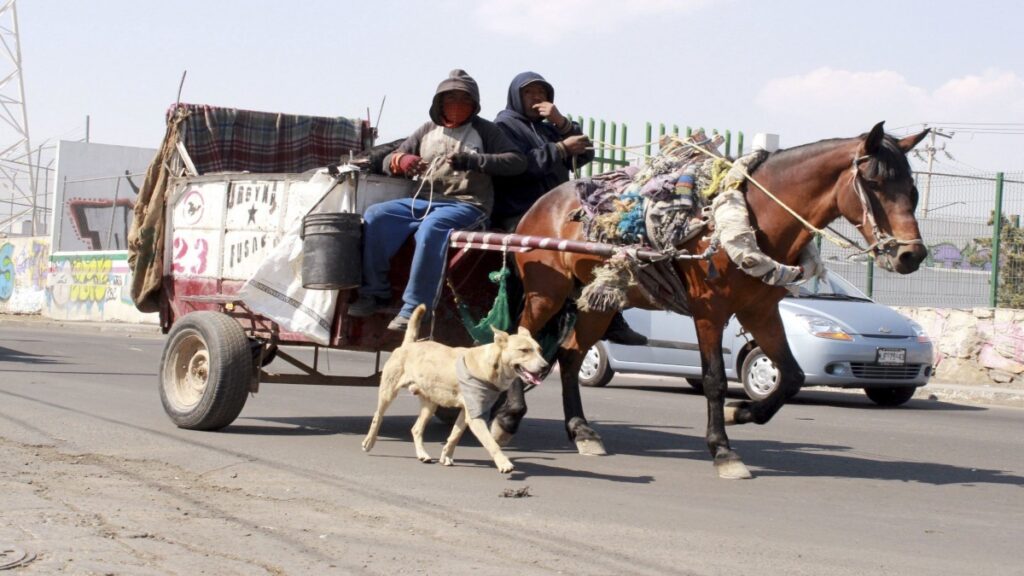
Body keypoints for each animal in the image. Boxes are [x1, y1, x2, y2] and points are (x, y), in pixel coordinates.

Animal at [364, 301, 548, 471]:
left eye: (540, 350)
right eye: (524, 350)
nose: (546, 367)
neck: (489, 365)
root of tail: (409, 344)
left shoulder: (467, 412)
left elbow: (455, 435)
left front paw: (446, 456)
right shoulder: (474, 417)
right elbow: (490, 442)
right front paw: (503, 463)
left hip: (430, 404)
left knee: (416, 429)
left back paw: (422, 454)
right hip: (388, 393)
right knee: (377, 417)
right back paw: (369, 441)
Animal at [491, 119, 933, 475]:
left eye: (913, 188)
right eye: (873, 183)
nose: (911, 255)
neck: (752, 216)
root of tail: (543, 203)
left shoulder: (759, 310)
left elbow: (791, 375)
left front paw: (745, 413)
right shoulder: (710, 311)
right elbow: (715, 379)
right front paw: (723, 450)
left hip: (601, 299)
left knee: (570, 356)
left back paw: (581, 431)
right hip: (547, 291)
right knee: (522, 340)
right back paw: (509, 418)